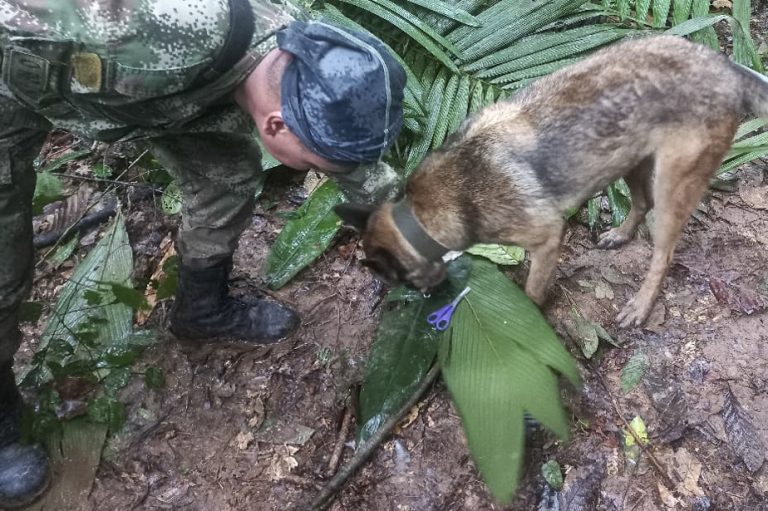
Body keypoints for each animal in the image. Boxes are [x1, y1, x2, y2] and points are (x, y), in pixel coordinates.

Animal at [334, 35, 768, 328]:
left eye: (394, 278)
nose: (426, 296)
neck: (422, 212)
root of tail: (726, 66)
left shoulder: (546, 239)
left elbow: (532, 291)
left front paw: (530, 317)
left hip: (672, 186)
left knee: (663, 252)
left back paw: (641, 305)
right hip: (629, 158)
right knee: (640, 202)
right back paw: (620, 234)